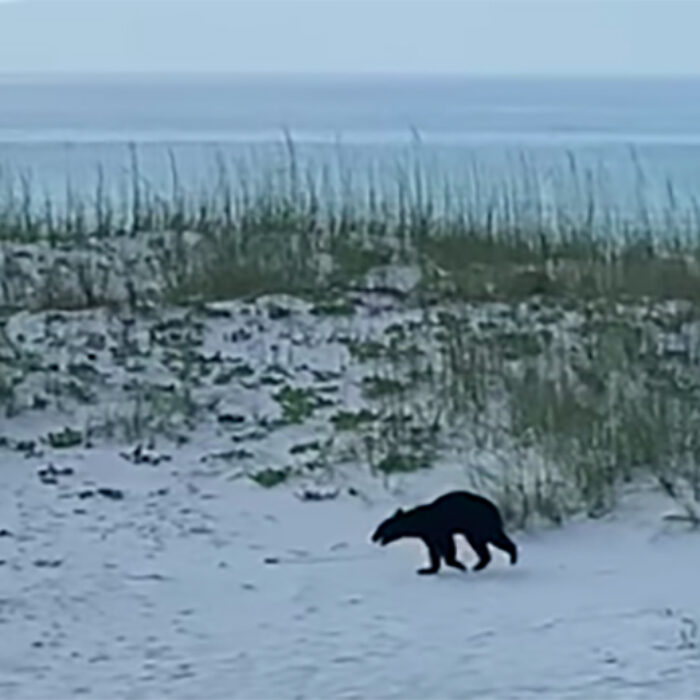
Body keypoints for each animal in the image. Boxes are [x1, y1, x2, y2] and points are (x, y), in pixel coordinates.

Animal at [371, 490, 518, 575]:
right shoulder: (428, 534)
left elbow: (447, 546)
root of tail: (495, 508)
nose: (372, 537)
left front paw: (459, 564)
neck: (419, 521)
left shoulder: (439, 529)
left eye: (380, 528)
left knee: (488, 539)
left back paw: (509, 557)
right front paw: (427, 569)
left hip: (479, 524)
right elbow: (433, 550)